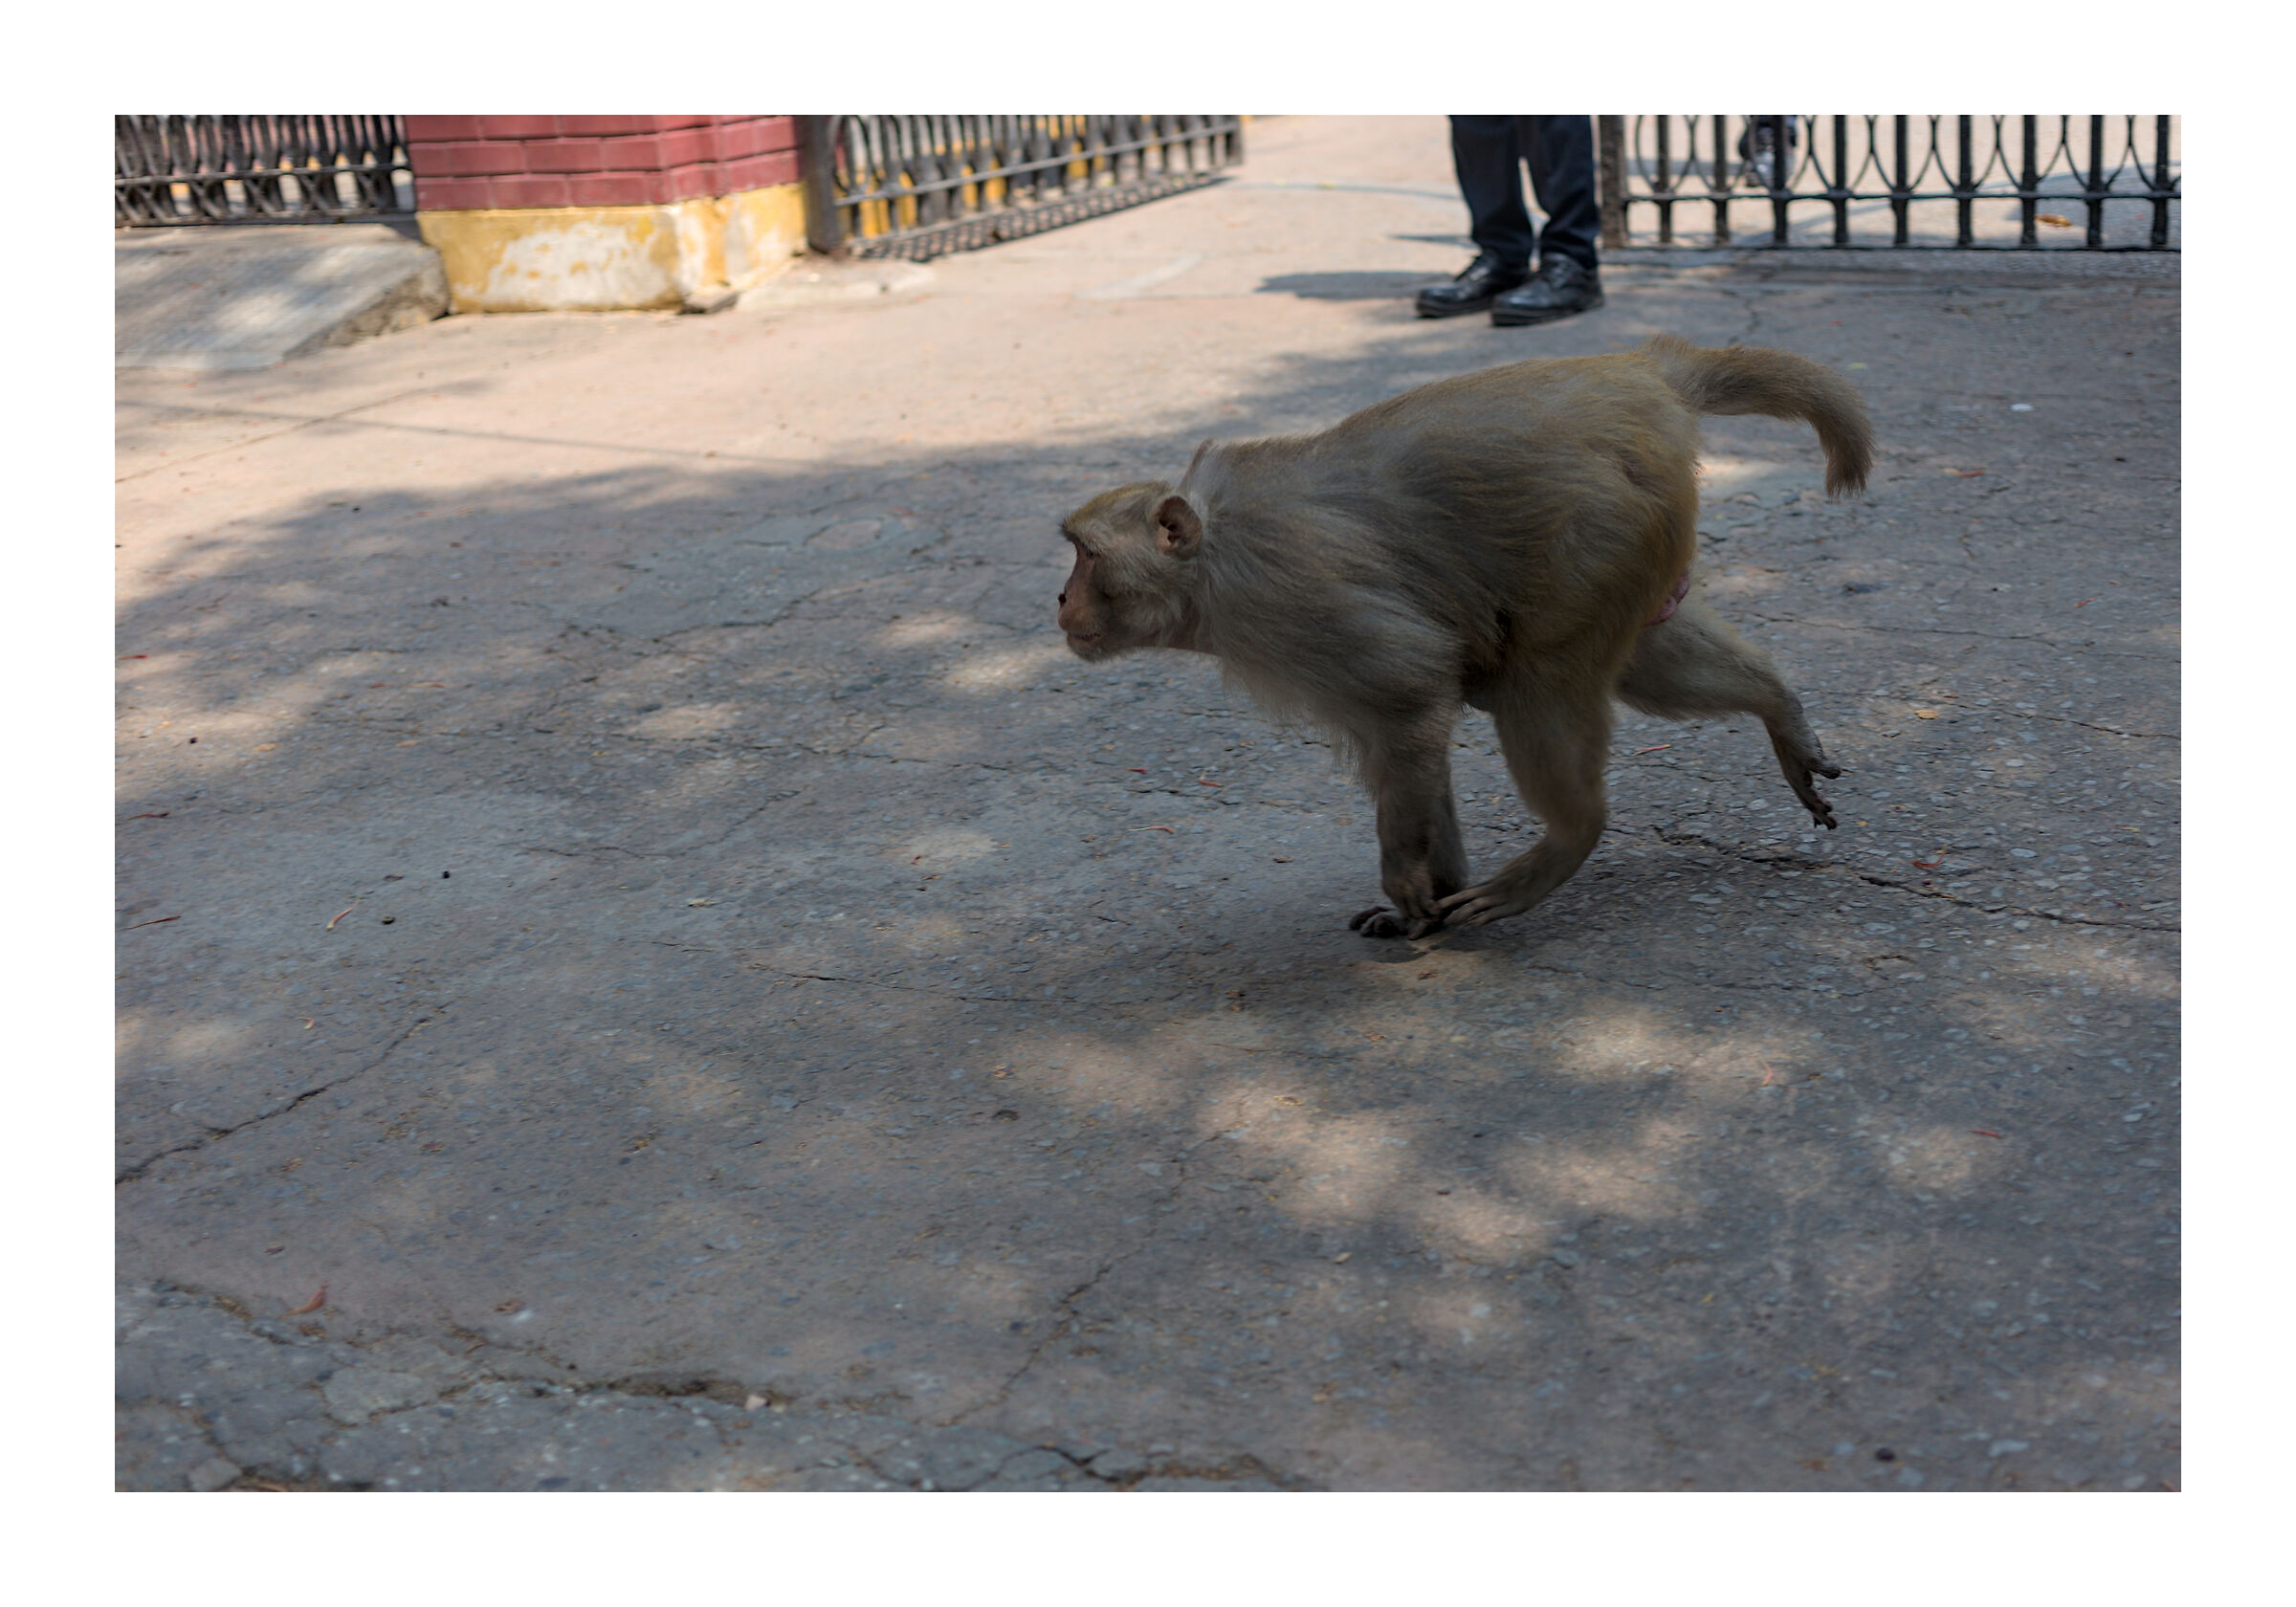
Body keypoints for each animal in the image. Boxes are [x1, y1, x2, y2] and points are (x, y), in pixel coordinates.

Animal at [1056, 334, 1873, 939]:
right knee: (1645, 658)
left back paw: (1570, 837)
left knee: (1538, 681)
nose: (1060, 599)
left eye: (1087, 555)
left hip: (1603, 528)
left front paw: (1404, 875)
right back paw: (1777, 705)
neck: (1211, 564)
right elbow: (1408, 737)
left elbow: (1413, 689)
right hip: (1644, 540)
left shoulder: (1299, 602)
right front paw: (1428, 895)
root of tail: (1643, 374)